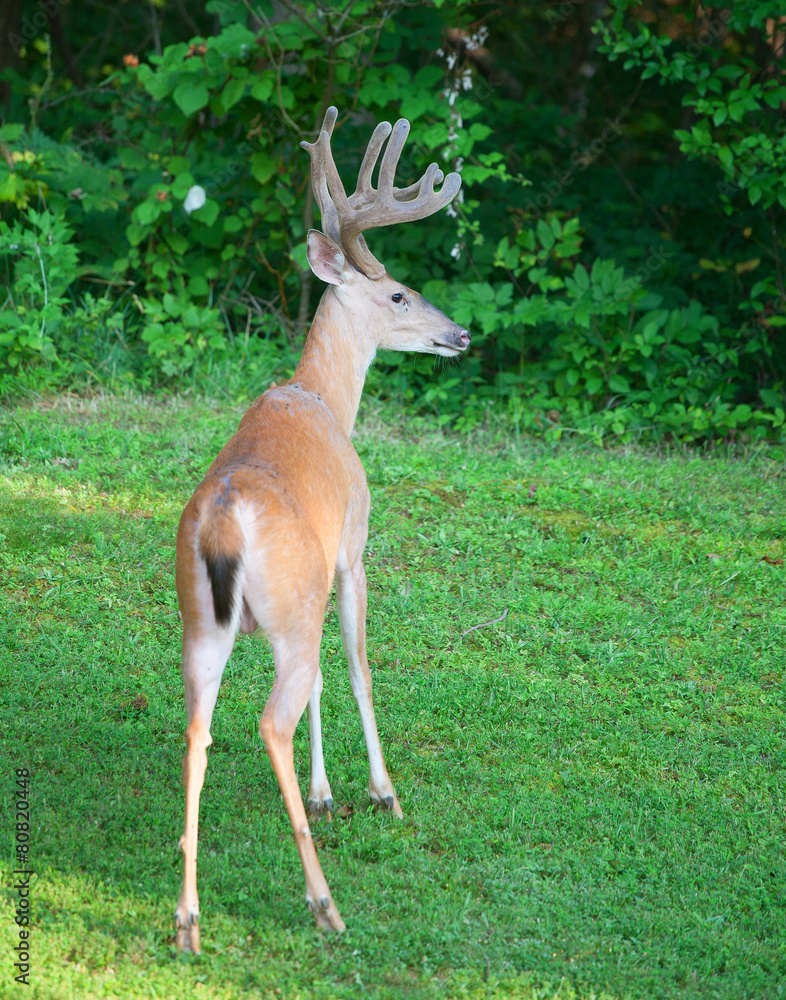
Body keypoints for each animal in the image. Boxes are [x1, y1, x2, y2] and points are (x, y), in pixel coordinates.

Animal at [173, 106, 470, 953]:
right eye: (400, 294)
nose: (460, 334)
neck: (324, 398)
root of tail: (225, 523)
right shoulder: (351, 550)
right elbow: (361, 666)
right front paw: (378, 791)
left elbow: (331, 685)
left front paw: (326, 789)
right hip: (290, 610)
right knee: (271, 717)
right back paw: (322, 901)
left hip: (201, 621)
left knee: (198, 729)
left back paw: (188, 918)